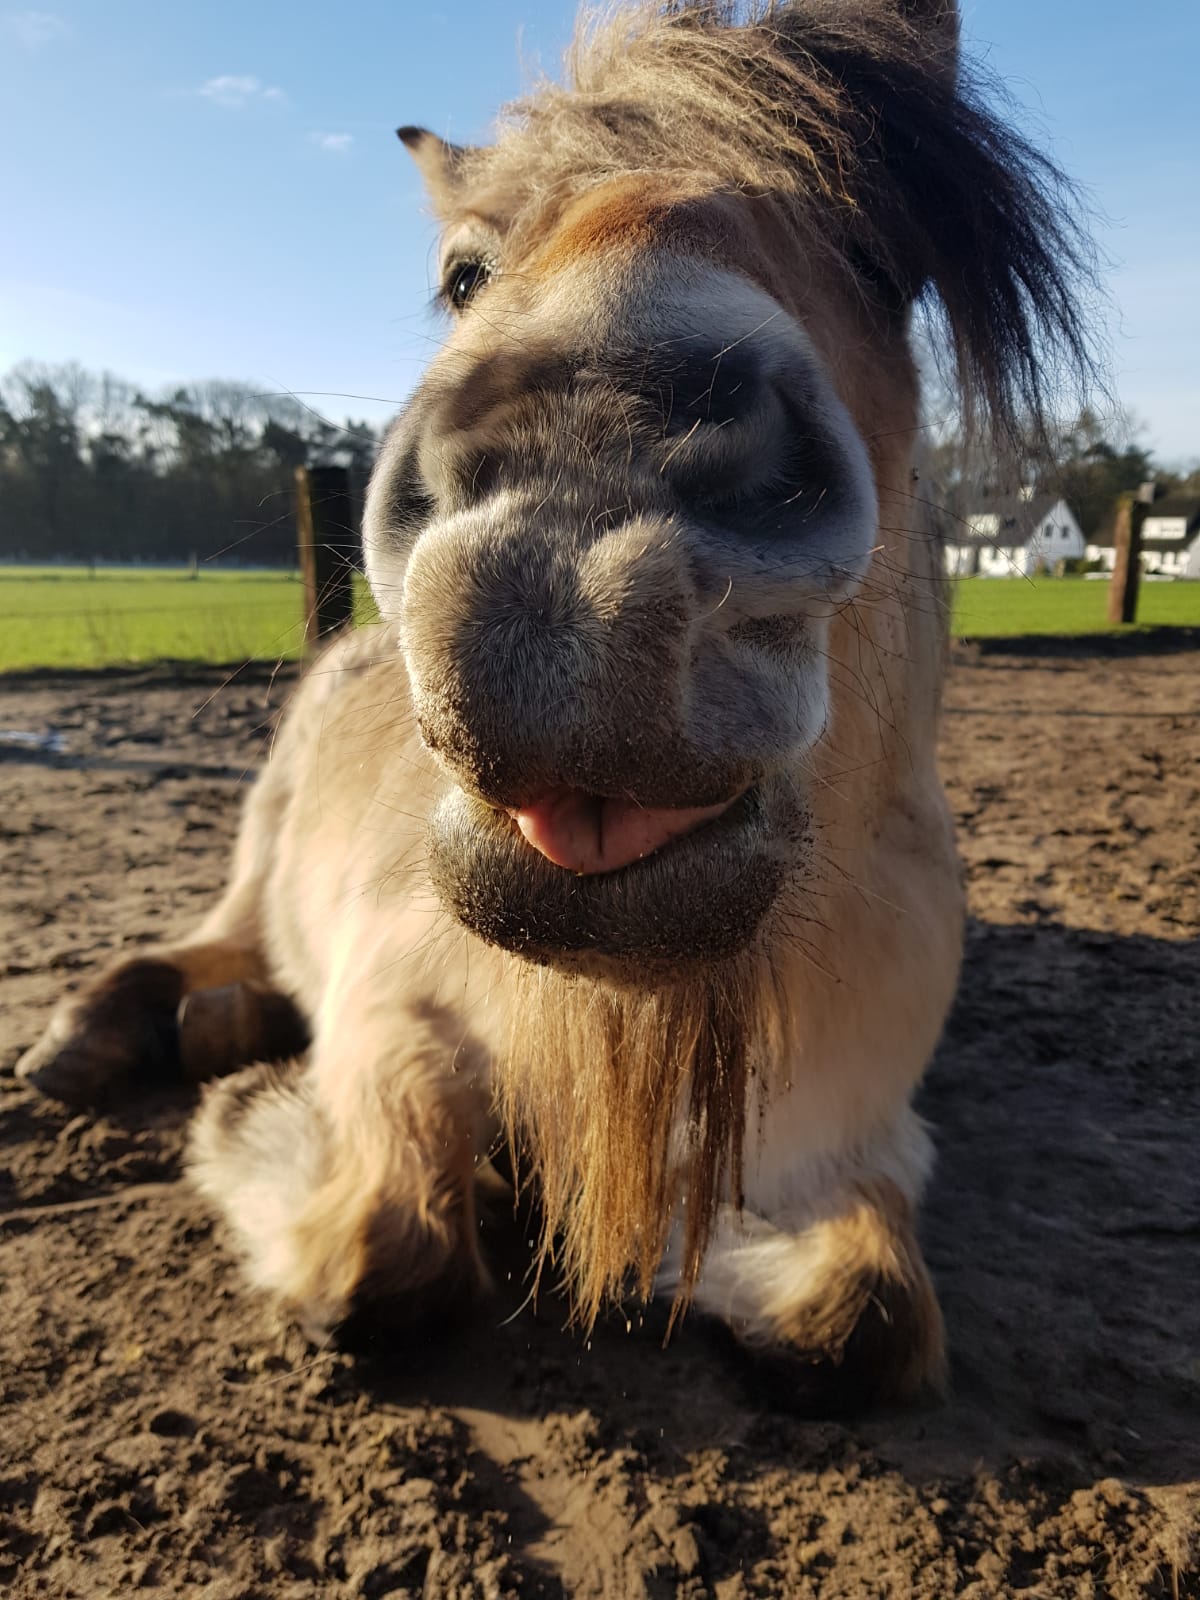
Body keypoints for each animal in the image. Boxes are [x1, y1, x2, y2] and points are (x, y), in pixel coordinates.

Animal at [18, 0, 1094, 1408]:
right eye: (464, 275)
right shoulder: (388, 1006)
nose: (576, 546)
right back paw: (114, 1032)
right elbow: (386, 1243)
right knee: (214, 938)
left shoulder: (849, 1118)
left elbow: (859, 1311)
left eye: (876, 255)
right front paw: (258, 1117)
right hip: (259, 848)